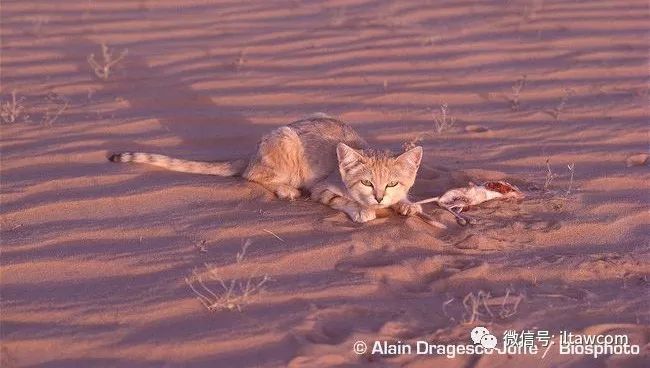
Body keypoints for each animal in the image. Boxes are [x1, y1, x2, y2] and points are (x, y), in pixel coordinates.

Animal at [109, 113, 422, 221]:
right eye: (367, 183)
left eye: (392, 183)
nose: (379, 198)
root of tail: (251, 154)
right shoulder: (322, 188)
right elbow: (342, 200)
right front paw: (363, 209)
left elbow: (404, 199)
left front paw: (407, 205)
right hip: (285, 141)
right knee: (252, 175)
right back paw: (285, 190)